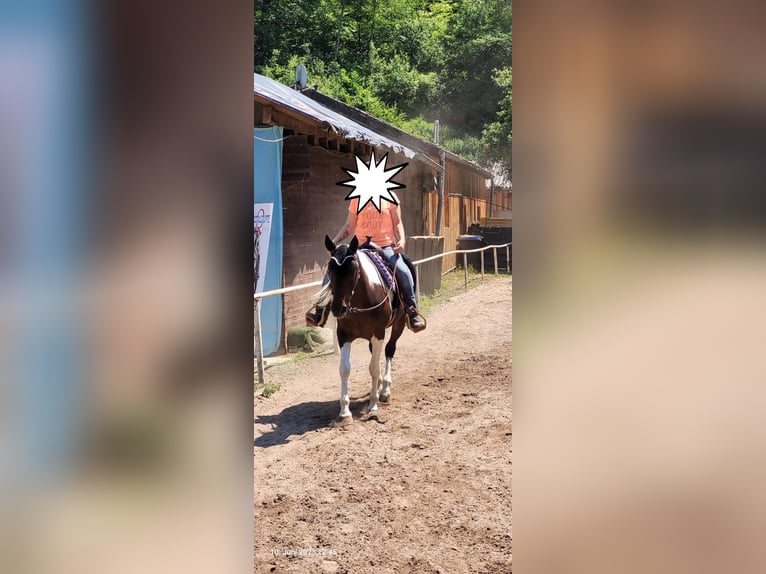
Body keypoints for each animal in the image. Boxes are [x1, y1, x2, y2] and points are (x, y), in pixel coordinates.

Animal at [317, 234, 410, 421]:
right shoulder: (343, 335)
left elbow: (373, 369)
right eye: (330, 270)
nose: (338, 308)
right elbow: (344, 369)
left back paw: (385, 390)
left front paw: (373, 404)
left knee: (389, 350)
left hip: (399, 325)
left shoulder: (378, 333)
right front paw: (344, 411)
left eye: (353, 270)